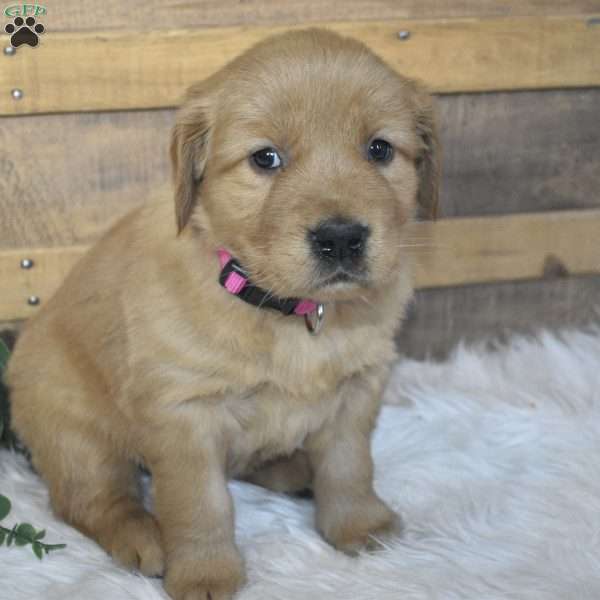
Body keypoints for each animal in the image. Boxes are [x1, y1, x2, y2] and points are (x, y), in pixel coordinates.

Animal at [4, 28, 438, 600]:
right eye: (266, 158)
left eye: (380, 149)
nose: (341, 238)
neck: (285, 311)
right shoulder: (184, 413)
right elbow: (200, 503)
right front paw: (205, 573)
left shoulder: (360, 385)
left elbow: (350, 464)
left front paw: (359, 526)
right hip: (75, 430)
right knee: (89, 497)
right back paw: (143, 537)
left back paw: (295, 471)